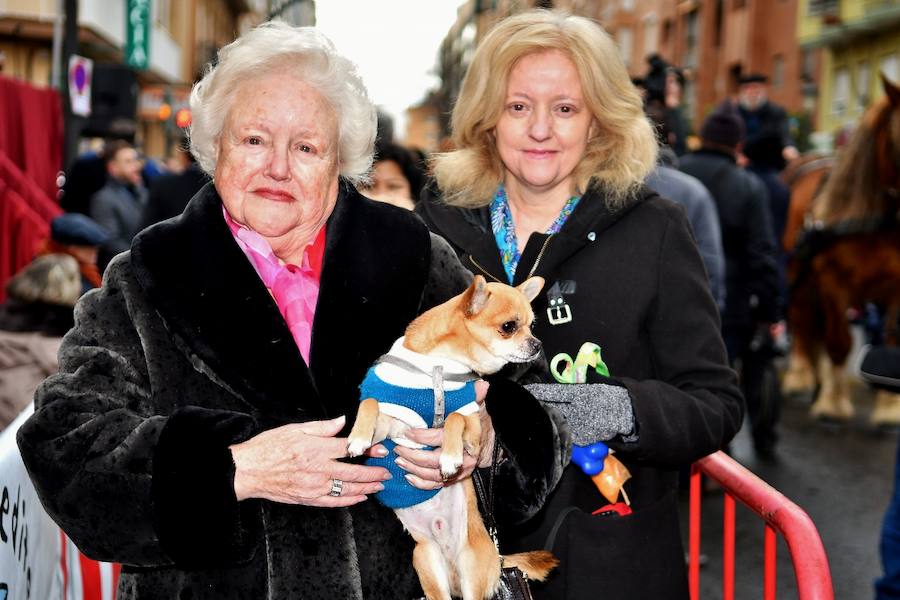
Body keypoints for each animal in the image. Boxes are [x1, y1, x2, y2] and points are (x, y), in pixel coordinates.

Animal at [350, 276, 556, 600]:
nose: (537, 344)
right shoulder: (392, 425)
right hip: (425, 559)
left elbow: (455, 418)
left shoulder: (473, 422)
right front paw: (357, 439)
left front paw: (449, 457)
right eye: (509, 326)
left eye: (533, 325)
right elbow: (370, 403)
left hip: (472, 568)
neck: (441, 365)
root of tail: (497, 558)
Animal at [780, 72, 900, 424]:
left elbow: (891, 340)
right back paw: (801, 375)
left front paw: (889, 407)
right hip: (797, 273)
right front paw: (833, 403)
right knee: (801, 317)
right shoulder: (834, 281)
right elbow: (840, 342)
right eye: (898, 135)